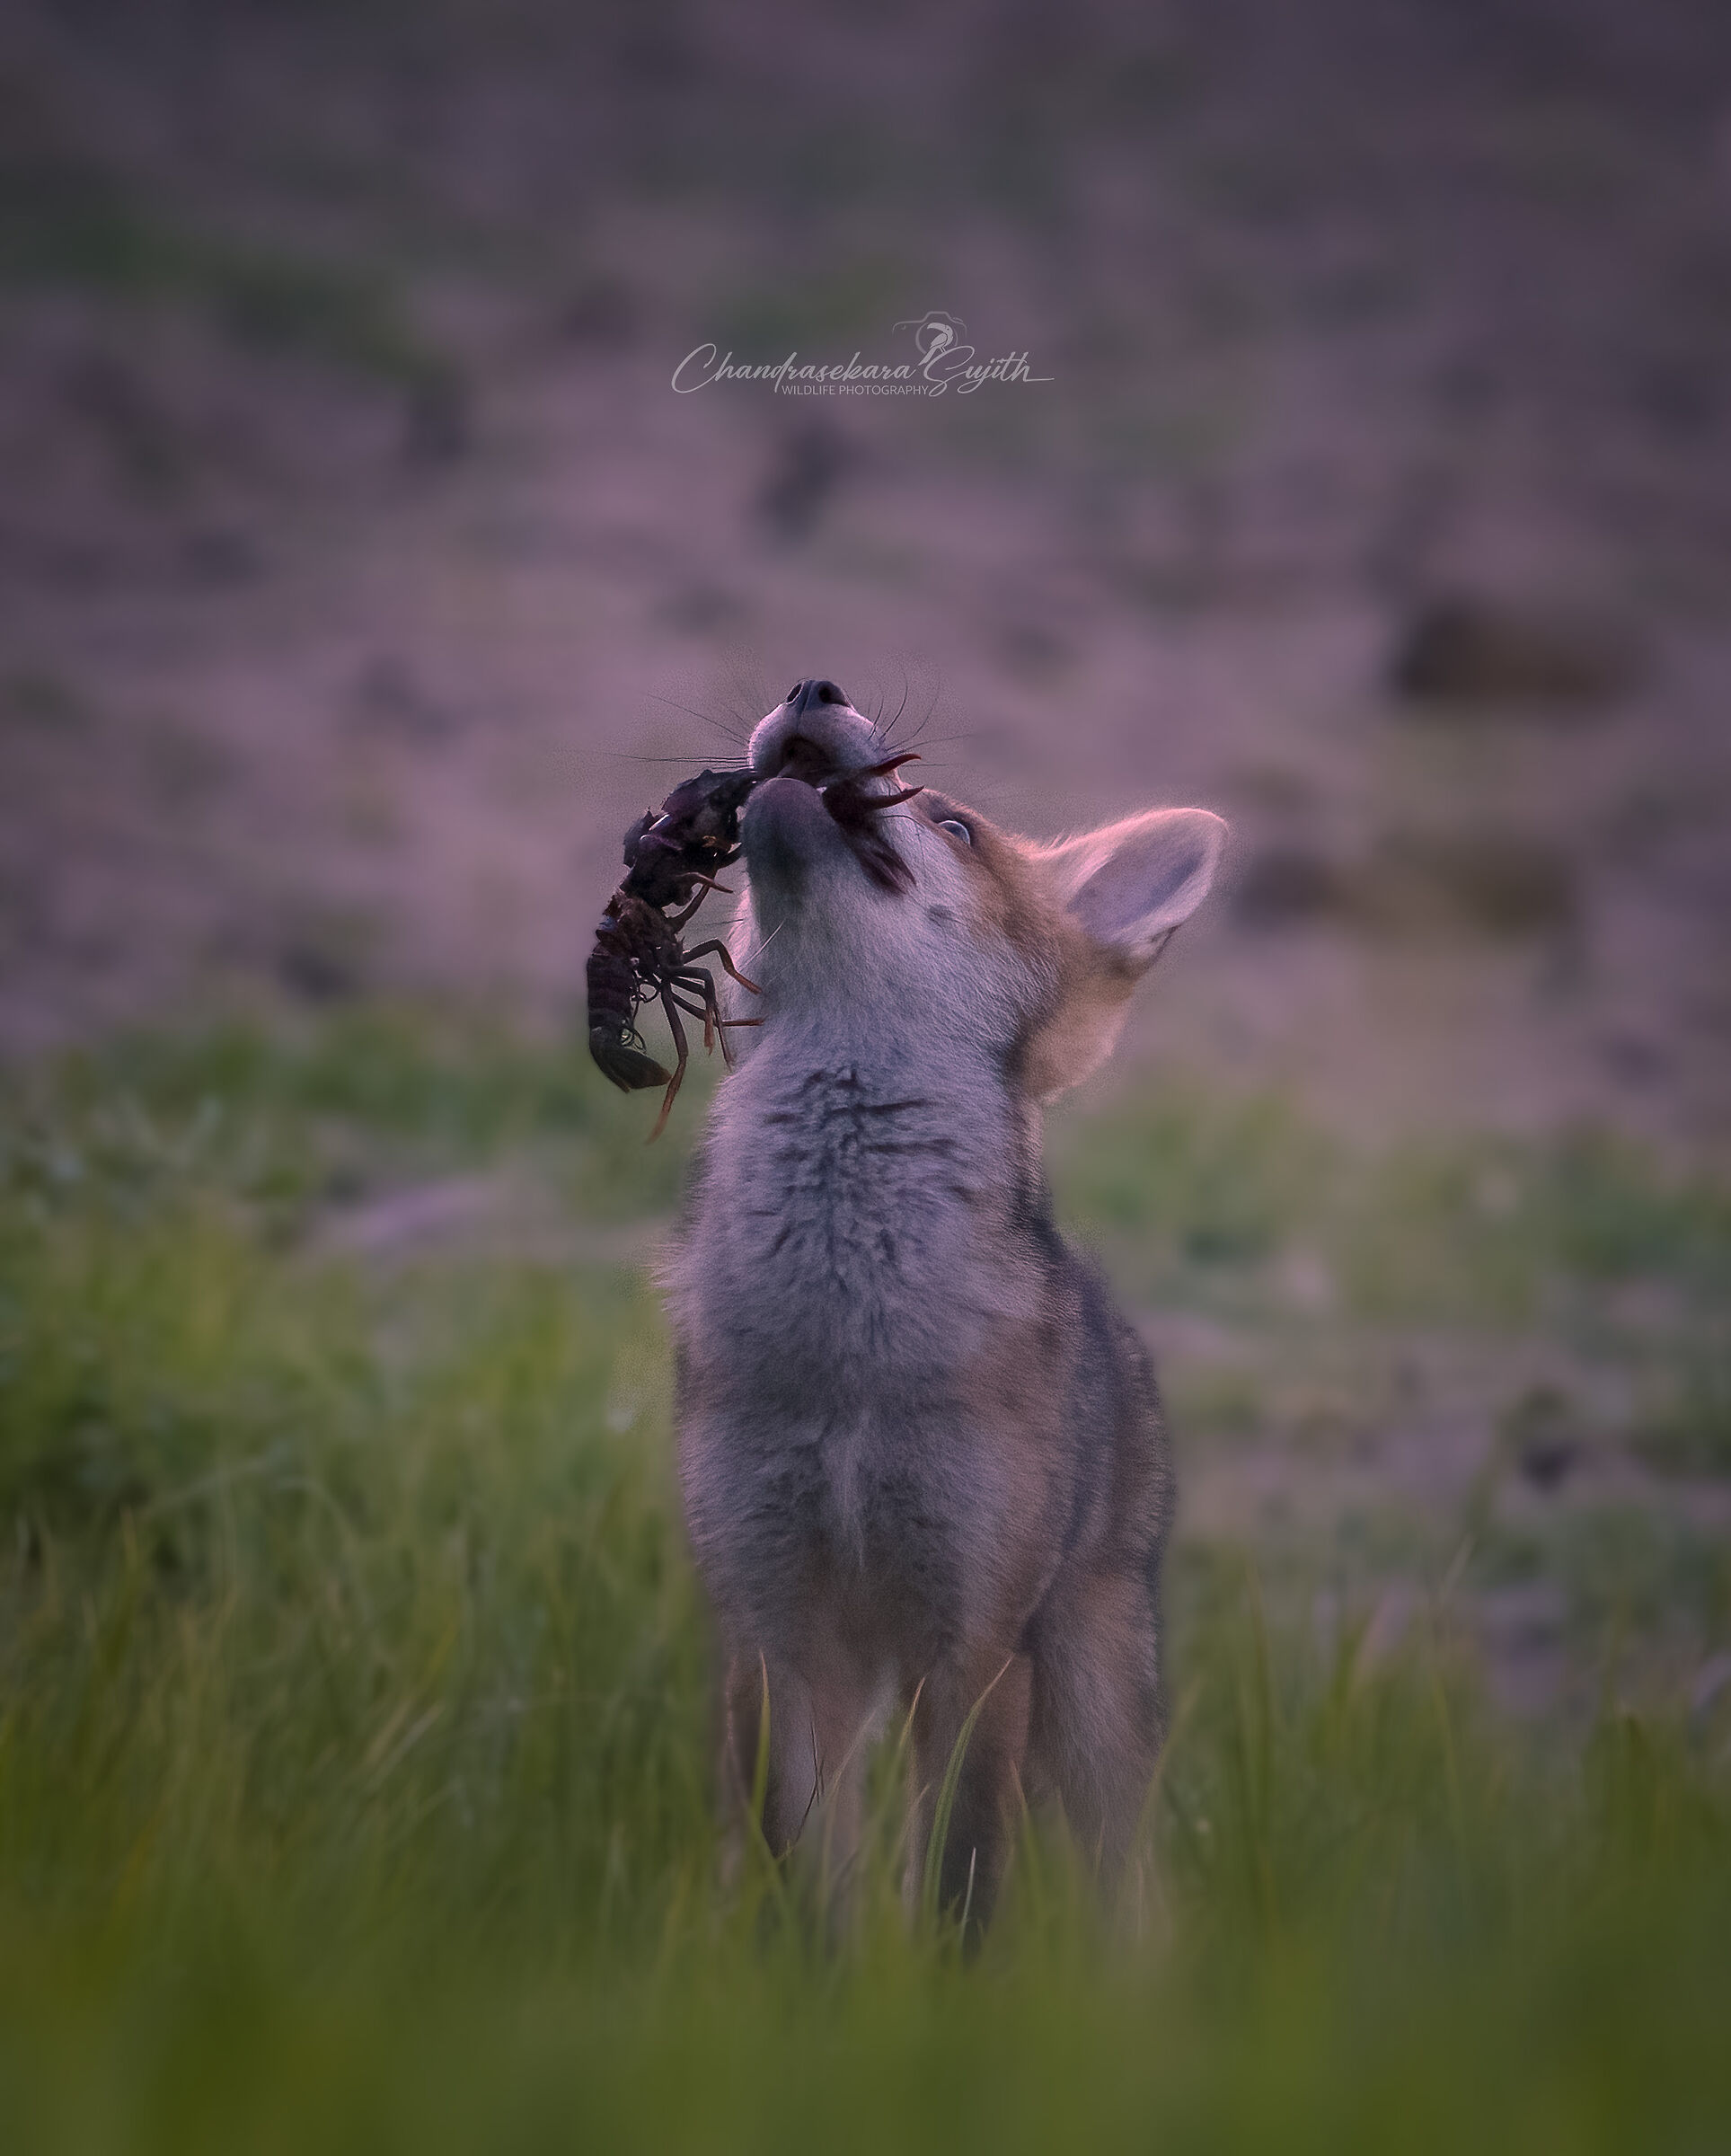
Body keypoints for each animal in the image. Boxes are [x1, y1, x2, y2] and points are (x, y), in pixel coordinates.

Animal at [662, 677, 1226, 1930]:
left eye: (954, 825)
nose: (812, 686)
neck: (841, 1359)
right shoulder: (775, 1629)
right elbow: (808, 1895)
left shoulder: (970, 1645)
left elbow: (963, 1893)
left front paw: (938, 1988)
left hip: (1089, 1702)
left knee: (1130, 1904)